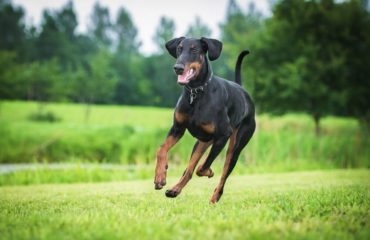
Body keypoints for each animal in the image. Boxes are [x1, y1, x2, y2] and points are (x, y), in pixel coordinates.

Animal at [153, 37, 254, 202]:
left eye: (194, 49)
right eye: (179, 48)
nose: (178, 68)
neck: (196, 93)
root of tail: (243, 91)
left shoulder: (223, 135)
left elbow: (203, 167)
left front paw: (209, 172)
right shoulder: (177, 128)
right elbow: (161, 149)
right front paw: (160, 176)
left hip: (235, 145)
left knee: (223, 173)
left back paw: (215, 197)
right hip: (202, 142)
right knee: (189, 169)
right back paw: (174, 190)